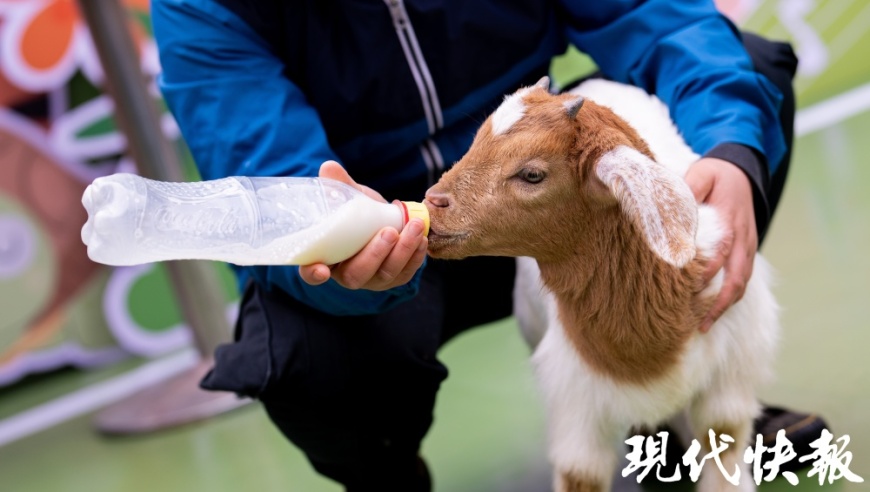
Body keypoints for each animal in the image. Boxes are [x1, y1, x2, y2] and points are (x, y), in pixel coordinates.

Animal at [426, 75, 780, 490]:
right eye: (476, 141)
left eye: (532, 174)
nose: (432, 203)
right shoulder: (575, 399)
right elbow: (581, 474)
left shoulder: (731, 370)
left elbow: (722, 439)